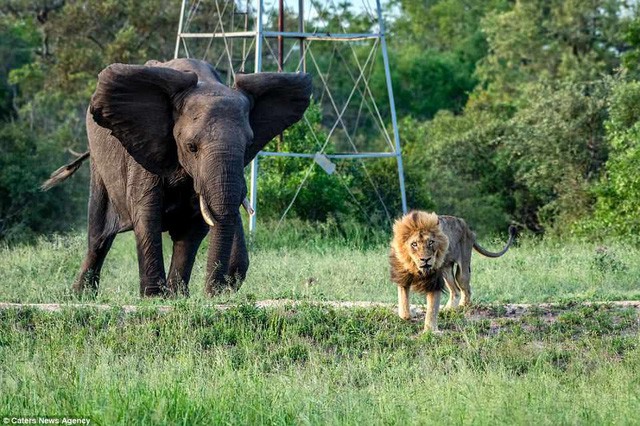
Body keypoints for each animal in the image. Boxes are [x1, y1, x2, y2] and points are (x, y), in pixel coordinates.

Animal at [42, 57, 312, 296]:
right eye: (191, 147)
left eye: (248, 146)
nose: (216, 292)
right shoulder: (145, 147)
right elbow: (146, 215)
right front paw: (153, 297)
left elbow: (195, 226)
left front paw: (176, 298)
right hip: (100, 164)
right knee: (99, 236)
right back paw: (80, 296)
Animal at [388, 211, 516, 332]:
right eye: (414, 244)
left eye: (431, 242)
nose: (426, 259)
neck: (417, 268)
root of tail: (467, 227)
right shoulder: (402, 276)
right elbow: (403, 302)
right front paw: (408, 316)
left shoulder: (434, 281)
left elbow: (432, 308)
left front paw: (429, 330)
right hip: (446, 270)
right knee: (455, 291)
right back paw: (447, 310)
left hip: (462, 269)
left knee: (466, 289)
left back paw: (462, 307)